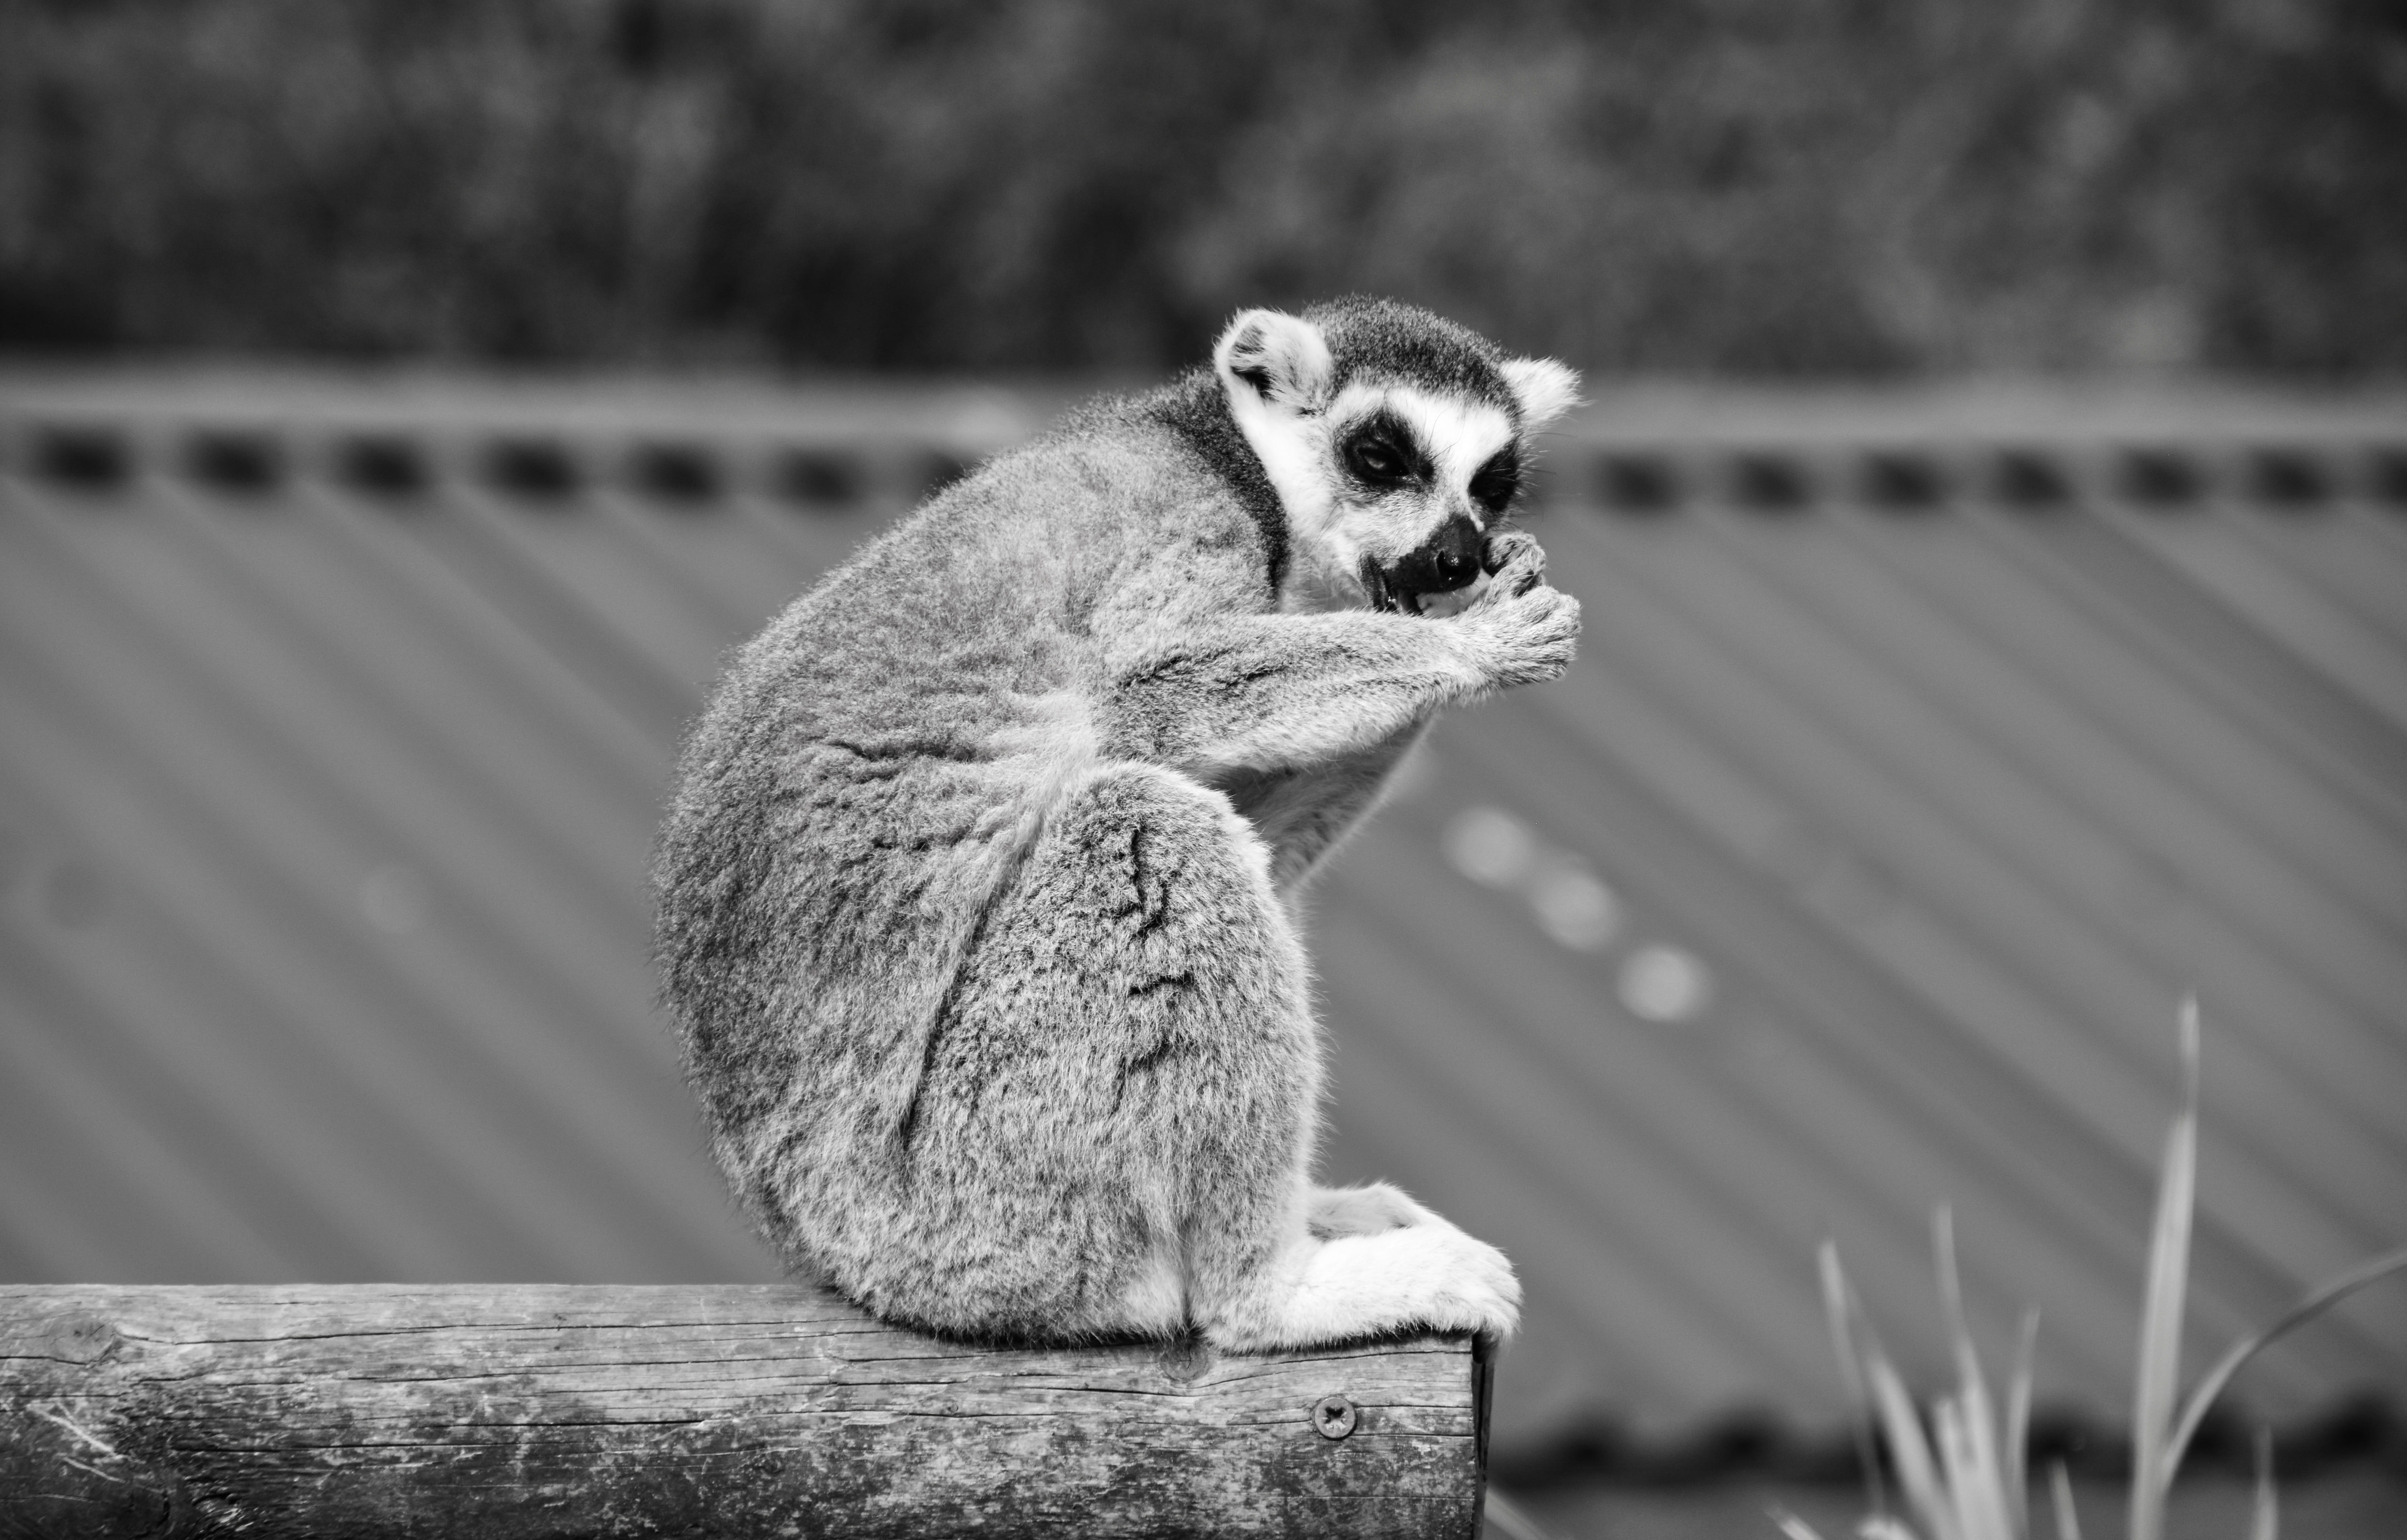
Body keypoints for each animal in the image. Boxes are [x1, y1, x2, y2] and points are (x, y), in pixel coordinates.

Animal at [654, 297, 1581, 1351]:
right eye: (1380, 456)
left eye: (1492, 484)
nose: (1457, 557)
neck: (1225, 452)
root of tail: (830, 1246)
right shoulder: (1190, 536)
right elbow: (1139, 700)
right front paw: (1471, 643)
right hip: (998, 1189)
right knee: (1150, 827)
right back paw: (1277, 1289)